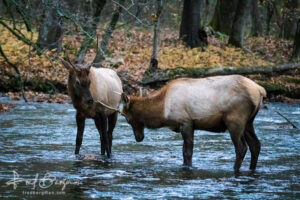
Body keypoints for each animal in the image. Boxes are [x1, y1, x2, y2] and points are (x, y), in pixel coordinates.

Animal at [120, 75, 266, 172]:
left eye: (127, 118)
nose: (139, 138)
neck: (163, 110)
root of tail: (260, 90)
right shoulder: (185, 125)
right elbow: (183, 151)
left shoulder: (186, 122)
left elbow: (188, 152)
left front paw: (189, 167)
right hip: (248, 122)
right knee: (256, 145)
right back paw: (252, 169)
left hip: (235, 121)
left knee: (241, 148)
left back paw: (234, 169)